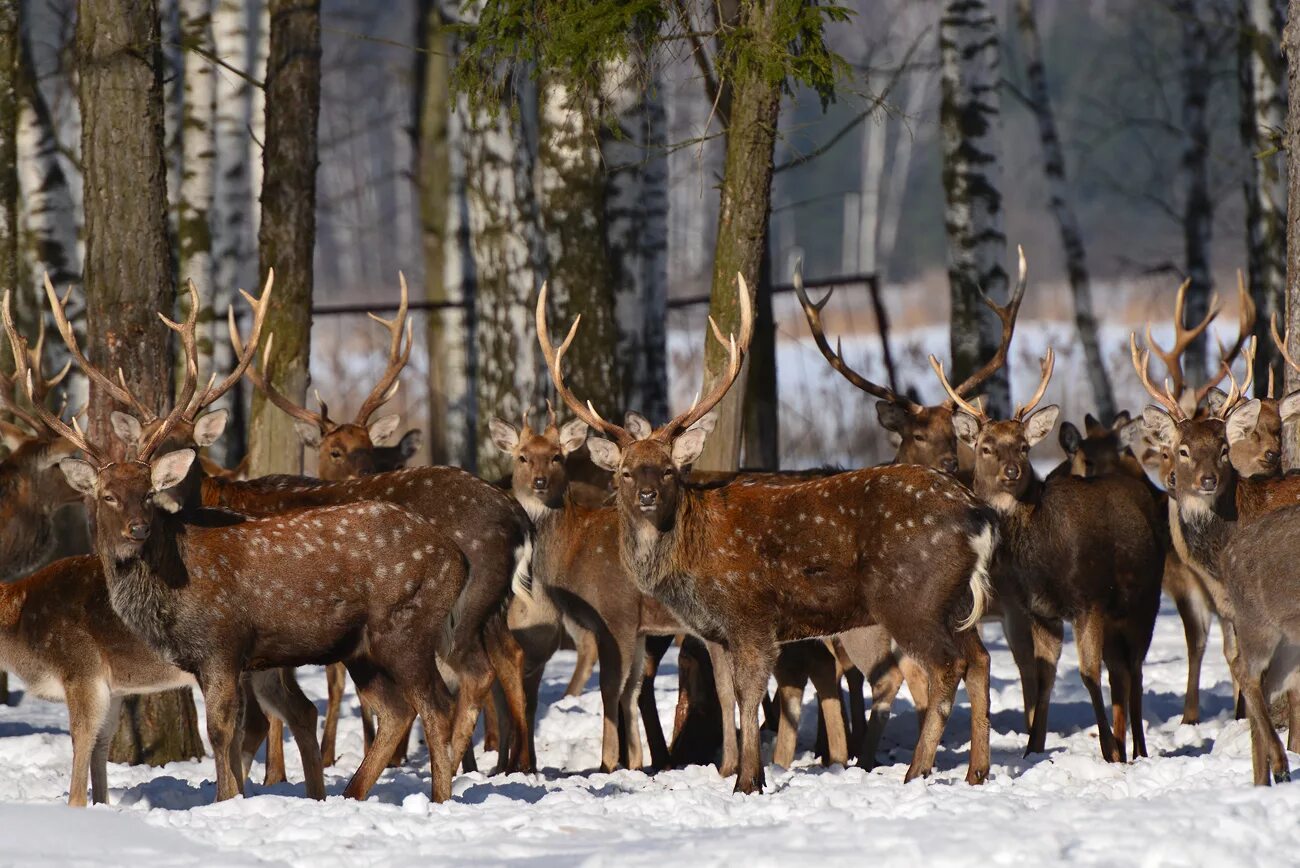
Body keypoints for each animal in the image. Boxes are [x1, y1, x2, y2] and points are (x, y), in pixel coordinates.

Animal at [5, 288, 473, 805]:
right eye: (107, 494)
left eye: (146, 491)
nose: (137, 529)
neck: (170, 596)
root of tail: (457, 558)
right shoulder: (207, 660)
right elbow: (228, 736)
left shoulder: (222, 645)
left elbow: (222, 732)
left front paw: (226, 801)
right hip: (363, 646)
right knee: (395, 711)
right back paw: (352, 793)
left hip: (408, 626)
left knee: (437, 704)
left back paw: (438, 799)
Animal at [538, 276, 993, 795]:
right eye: (626, 472)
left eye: (669, 468)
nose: (649, 495)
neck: (692, 553)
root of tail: (976, 515)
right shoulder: (719, 632)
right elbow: (733, 693)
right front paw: (744, 773)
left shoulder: (751, 616)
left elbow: (750, 693)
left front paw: (747, 780)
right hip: (955, 600)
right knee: (979, 659)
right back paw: (977, 771)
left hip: (910, 597)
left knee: (945, 666)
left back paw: (916, 771)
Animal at [930, 348, 1164, 764]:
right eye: (986, 447)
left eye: (1024, 446)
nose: (1012, 470)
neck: (1042, 557)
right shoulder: (1040, 611)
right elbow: (1043, 676)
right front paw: (1032, 749)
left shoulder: (1089, 600)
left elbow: (1087, 673)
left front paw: (1108, 751)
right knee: (1120, 667)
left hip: (1144, 600)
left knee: (1134, 669)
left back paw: (1137, 749)